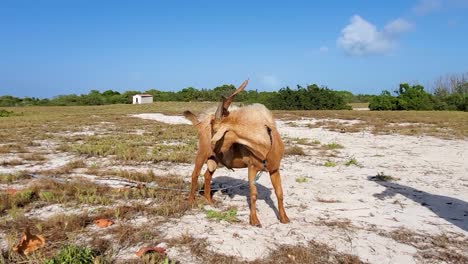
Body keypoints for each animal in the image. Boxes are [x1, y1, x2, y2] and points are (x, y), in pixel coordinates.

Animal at [183, 79, 288, 226]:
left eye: (215, 129)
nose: (213, 147)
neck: (267, 144)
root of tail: (200, 124)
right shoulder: (252, 167)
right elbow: (253, 194)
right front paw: (254, 220)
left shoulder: (274, 169)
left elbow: (280, 193)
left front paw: (284, 218)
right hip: (202, 153)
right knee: (195, 174)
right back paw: (191, 201)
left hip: (213, 160)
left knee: (207, 175)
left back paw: (209, 200)